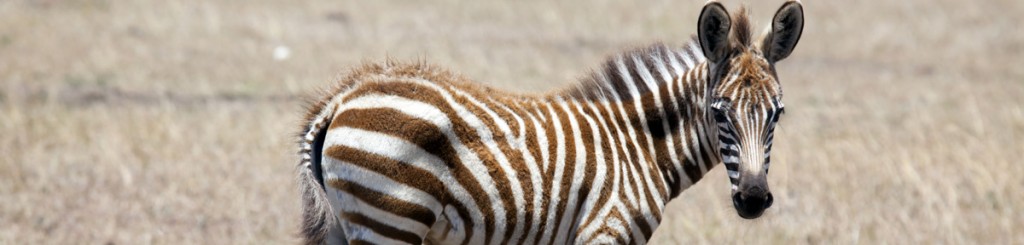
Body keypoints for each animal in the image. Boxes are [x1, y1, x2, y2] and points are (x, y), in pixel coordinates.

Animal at [299, 1, 802, 242]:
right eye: (718, 113)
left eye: (777, 114)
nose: (753, 201)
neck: (639, 147)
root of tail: (342, 97)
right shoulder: (607, 229)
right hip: (390, 221)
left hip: (348, 225)